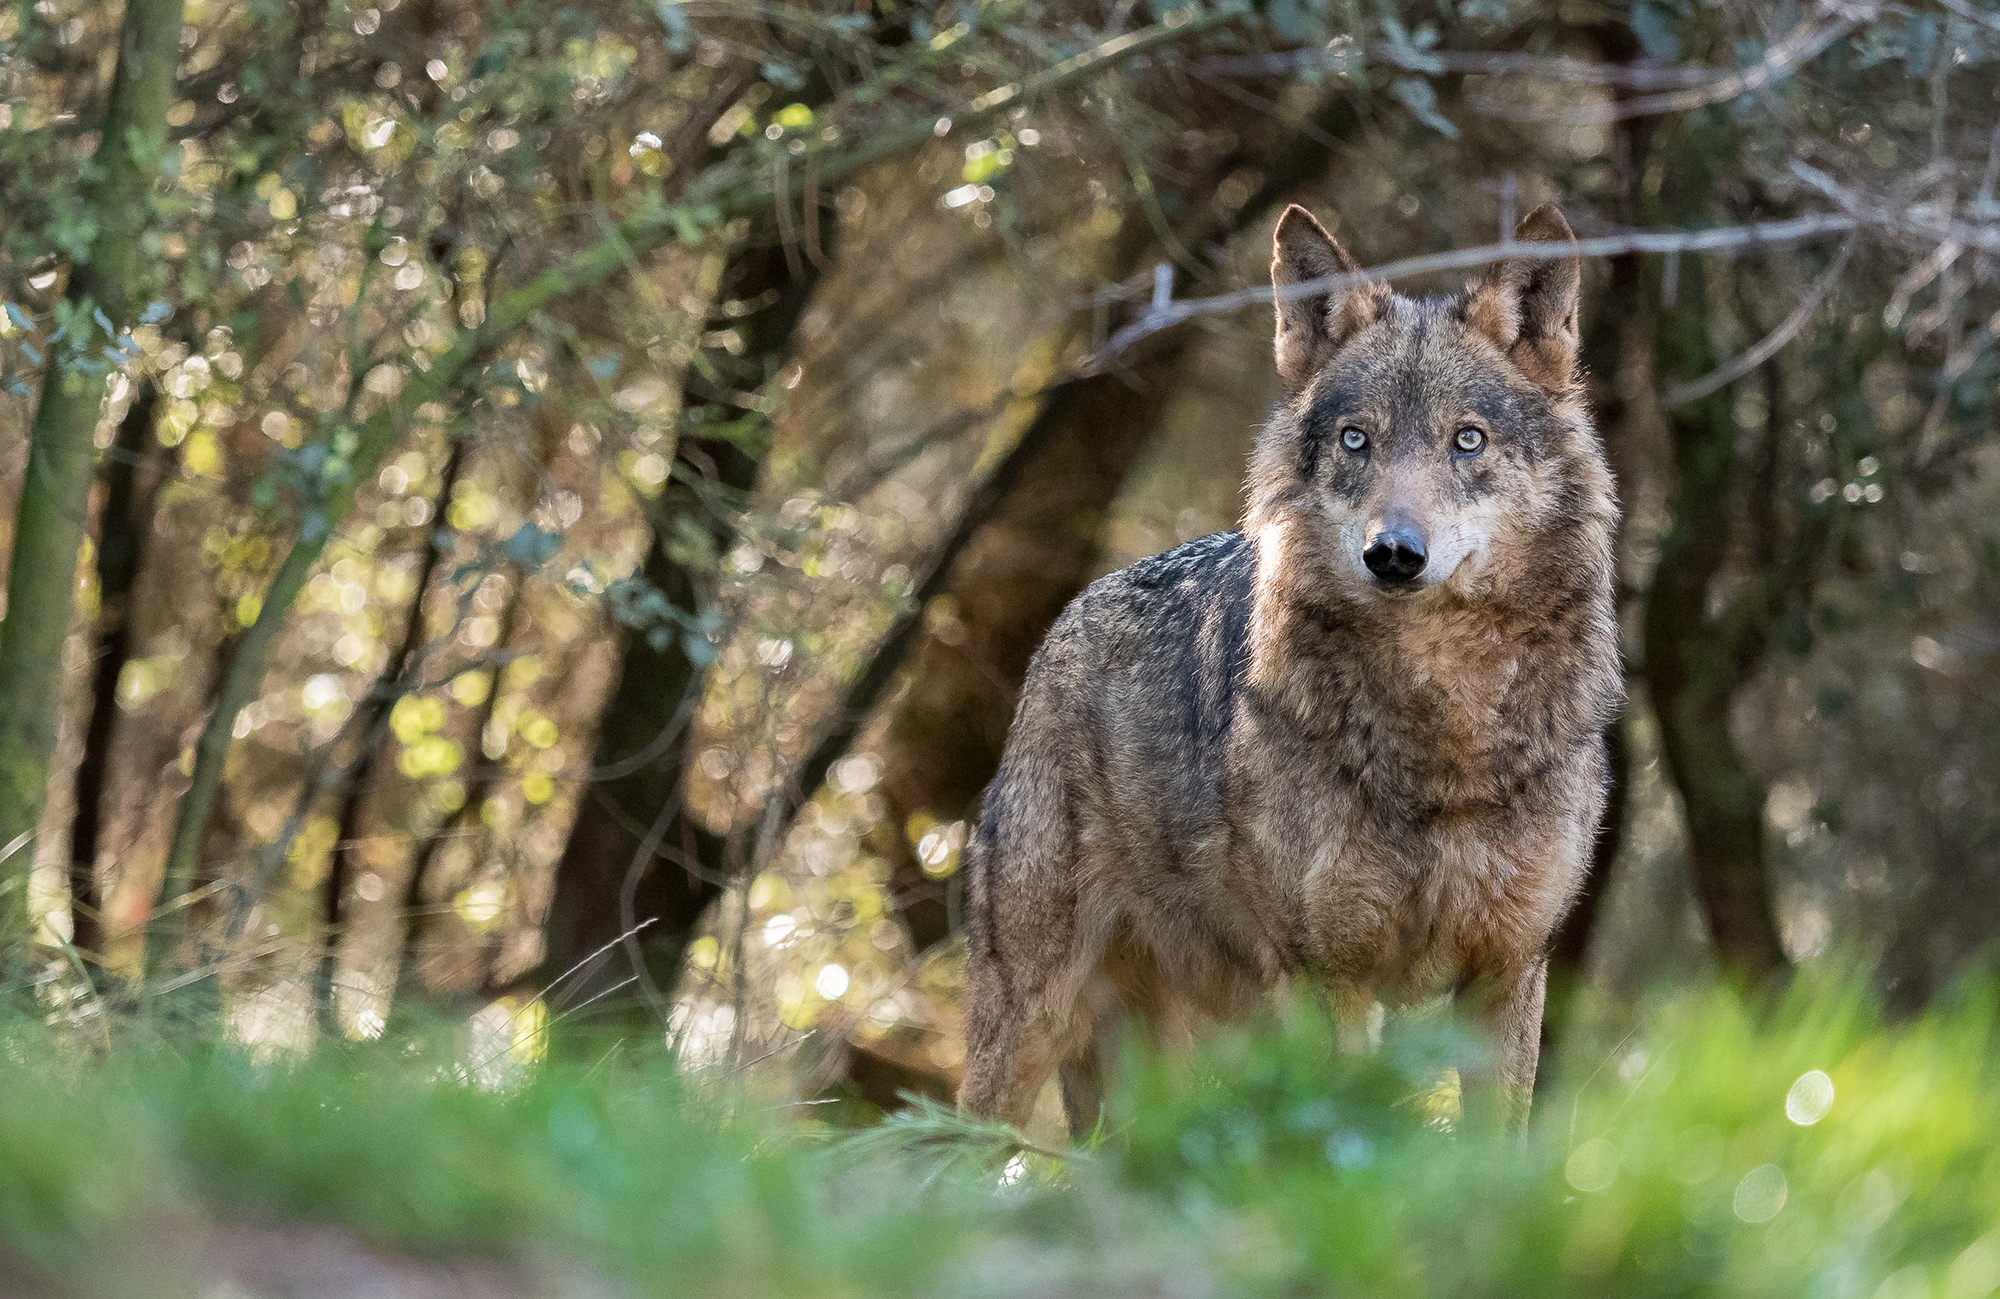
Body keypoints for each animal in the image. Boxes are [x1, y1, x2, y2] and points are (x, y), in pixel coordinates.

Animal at [957, 203, 1621, 1134]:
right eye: (1356, 440)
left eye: (1468, 441)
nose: (1394, 553)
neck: (1442, 739)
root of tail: (1068, 618)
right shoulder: (1326, 976)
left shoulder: (1508, 971)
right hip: (1032, 1020)